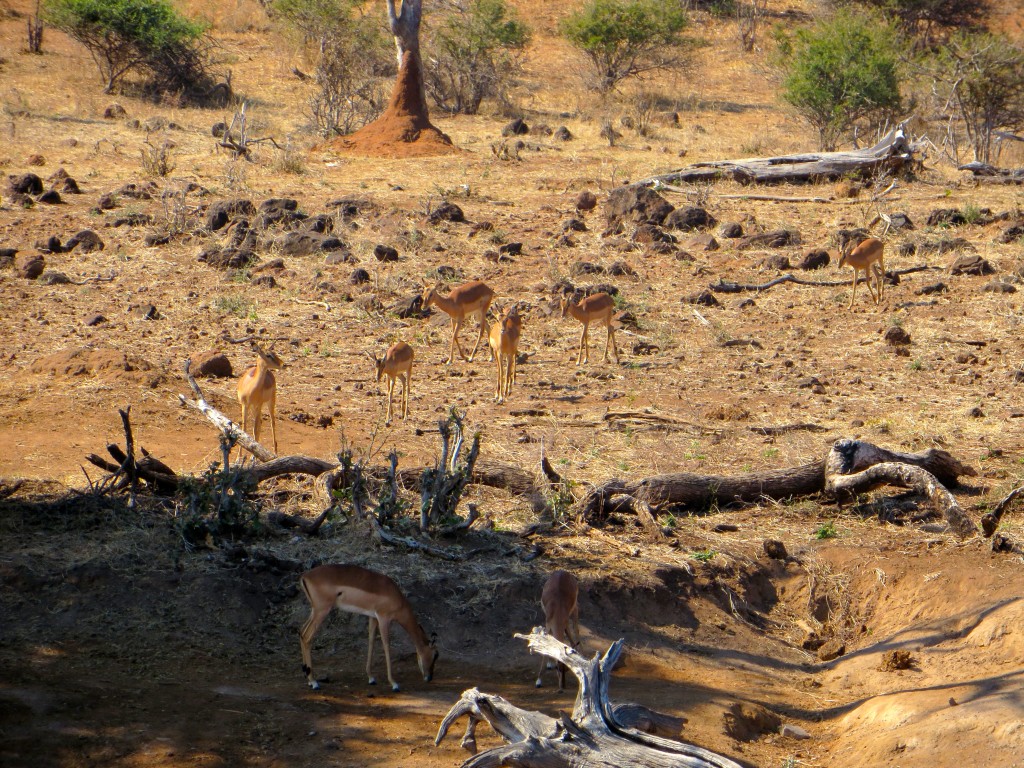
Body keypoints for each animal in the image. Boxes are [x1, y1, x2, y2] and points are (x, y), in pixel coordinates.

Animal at [299, 565, 438, 692]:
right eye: (436, 655)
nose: (430, 677)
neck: (395, 596)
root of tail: (305, 576)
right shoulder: (383, 618)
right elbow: (386, 645)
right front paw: (394, 683)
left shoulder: (373, 618)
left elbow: (371, 641)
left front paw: (371, 678)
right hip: (322, 611)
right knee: (307, 636)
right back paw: (314, 682)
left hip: (315, 611)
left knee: (301, 631)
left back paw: (308, 679)